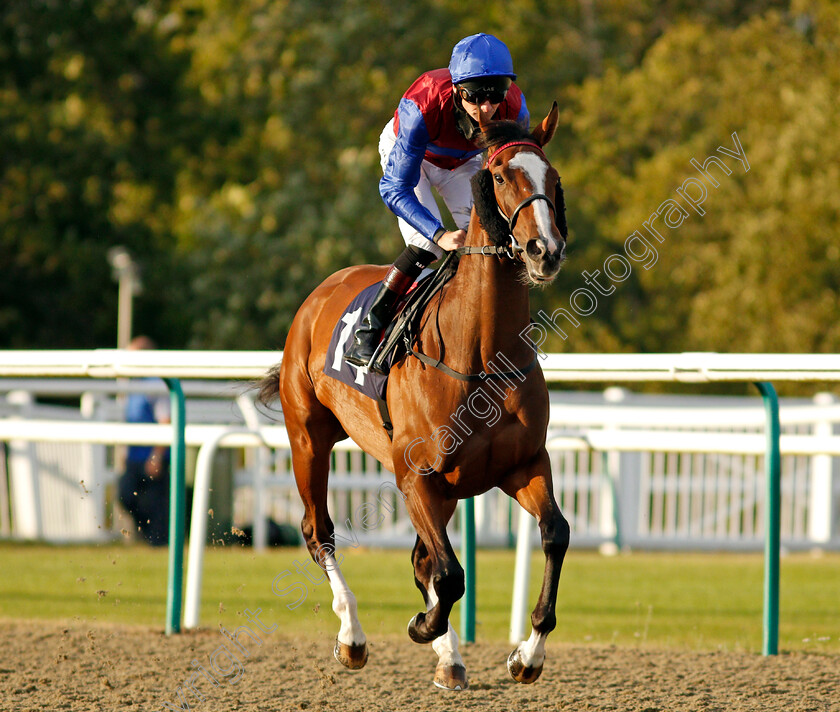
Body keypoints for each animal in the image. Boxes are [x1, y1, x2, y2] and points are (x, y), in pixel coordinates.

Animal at [258, 105, 572, 688]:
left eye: (554, 179)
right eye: (500, 176)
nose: (545, 251)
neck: (479, 355)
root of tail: (320, 292)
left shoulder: (522, 465)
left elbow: (554, 535)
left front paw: (527, 655)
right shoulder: (416, 475)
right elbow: (449, 575)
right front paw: (424, 626)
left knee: (423, 558)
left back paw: (449, 658)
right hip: (308, 437)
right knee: (320, 532)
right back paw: (353, 637)